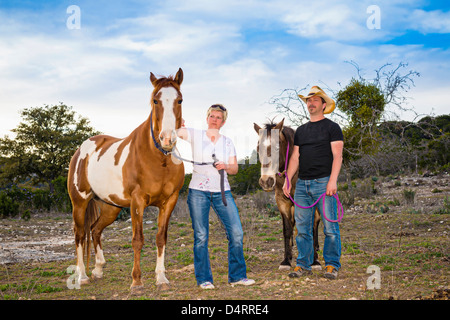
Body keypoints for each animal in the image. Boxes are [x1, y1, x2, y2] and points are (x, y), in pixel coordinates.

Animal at [66, 69, 185, 294]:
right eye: (155, 100)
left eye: (180, 100)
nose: (167, 139)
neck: (159, 160)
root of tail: (81, 150)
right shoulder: (137, 202)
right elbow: (137, 240)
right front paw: (136, 282)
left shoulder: (169, 202)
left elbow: (161, 238)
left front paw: (161, 278)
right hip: (79, 202)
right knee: (79, 234)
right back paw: (82, 276)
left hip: (110, 207)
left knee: (95, 230)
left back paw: (98, 270)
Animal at [253, 119, 320, 270]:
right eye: (258, 148)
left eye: (277, 148)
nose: (266, 181)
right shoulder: (282, 202)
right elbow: (287, 229)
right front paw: (286, 260)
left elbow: (311, 227)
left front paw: (314, 261)